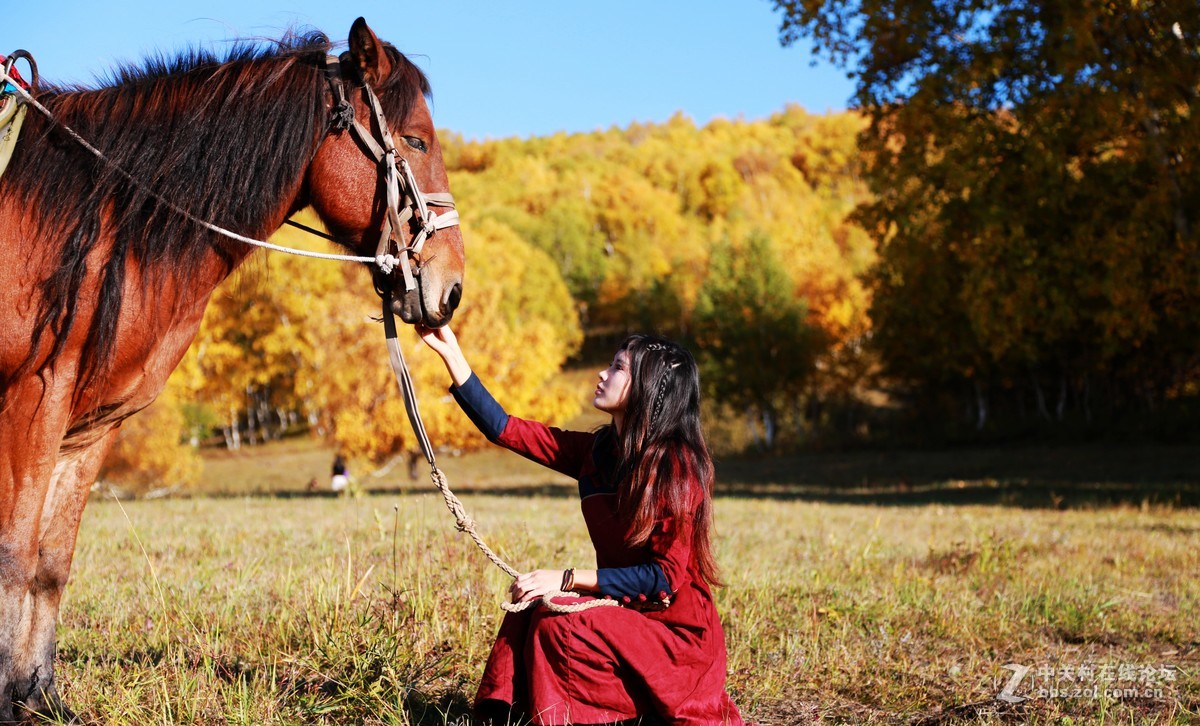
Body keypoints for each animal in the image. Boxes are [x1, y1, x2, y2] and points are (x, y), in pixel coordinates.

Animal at [0, 18, 464, 721]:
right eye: (414, 139)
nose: (452, 287)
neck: (95, 213)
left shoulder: (84, 429)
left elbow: (50, 559)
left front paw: (37, 694)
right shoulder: (31, 402)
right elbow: (13, 554)